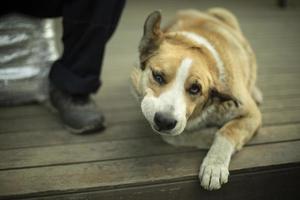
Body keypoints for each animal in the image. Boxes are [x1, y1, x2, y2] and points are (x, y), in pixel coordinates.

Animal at [130, 8, 262, 191]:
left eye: (195, 89)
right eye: (158, 76)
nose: (165, 121)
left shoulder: (252, 115)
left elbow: (227, 131)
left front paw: (214, 165)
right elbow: (174, 136)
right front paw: (210, 135)